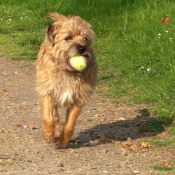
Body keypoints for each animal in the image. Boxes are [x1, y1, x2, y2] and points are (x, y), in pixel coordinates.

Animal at [36, 13, 98, 148]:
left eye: (85, 38)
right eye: (68, 38)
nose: (82, 48)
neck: (67, 71)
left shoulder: (78, 98)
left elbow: (70, 123)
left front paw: (64, 139)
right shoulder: (47, 92)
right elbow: (49, 117)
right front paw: (49, 134)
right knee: (54, 116)